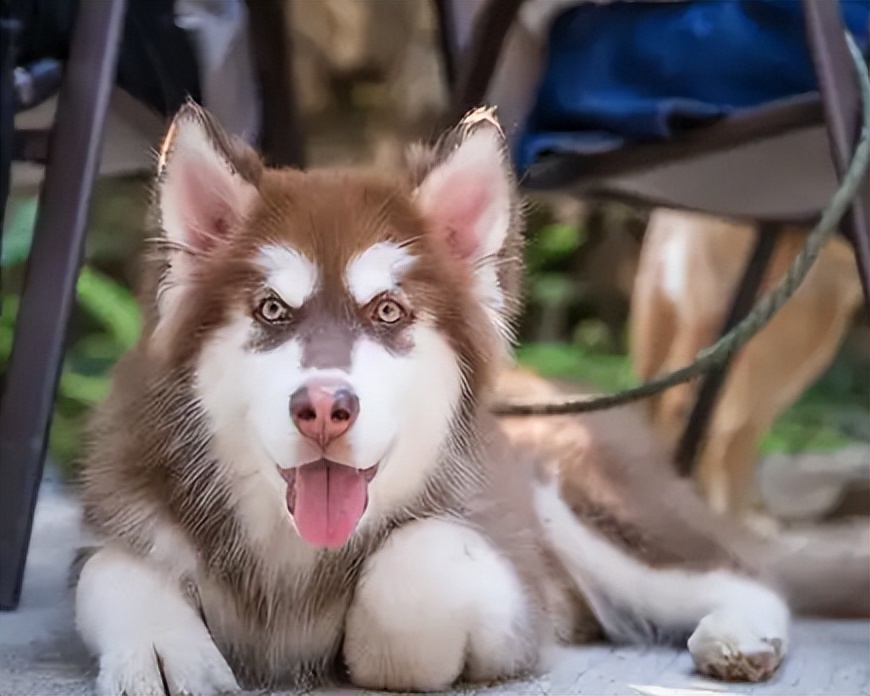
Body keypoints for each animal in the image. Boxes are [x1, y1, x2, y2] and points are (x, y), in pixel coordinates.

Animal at [78, 104, 868, 696]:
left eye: (388, 312)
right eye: (272, 310)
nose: (325, 408)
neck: (291, 552)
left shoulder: (503, 574)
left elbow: (415, 571)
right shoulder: (119, 507)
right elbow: (110, 567)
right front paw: (161, 645)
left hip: (584, 495)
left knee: (744, 574)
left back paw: (741, 633)